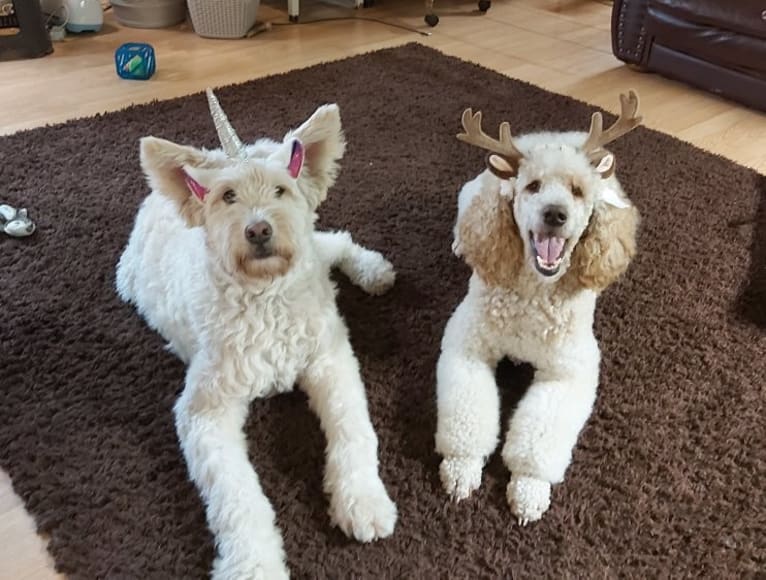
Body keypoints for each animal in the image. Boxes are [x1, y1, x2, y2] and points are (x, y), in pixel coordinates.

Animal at [118, 90, 402, 580]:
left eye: (280, 191)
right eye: (227, 196)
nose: (259, 229)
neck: (265, 298)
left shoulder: (330, 360)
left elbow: (354, 430)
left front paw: (363, 500)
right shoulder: (204, 411)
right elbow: (237, 494)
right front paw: (252, 563)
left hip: (309, 250)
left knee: (332, 240)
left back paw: (371, 269)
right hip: (129, 278)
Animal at [436, 92, 644, 524]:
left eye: (578, 191)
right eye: (532, 186)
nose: (555, 214)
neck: (533, 294)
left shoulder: (569, 371)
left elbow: (540, 436)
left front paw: (529, 489)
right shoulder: (467, 344)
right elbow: (468, 415)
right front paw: (461, 469)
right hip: (471, 193)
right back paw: (462, 243)